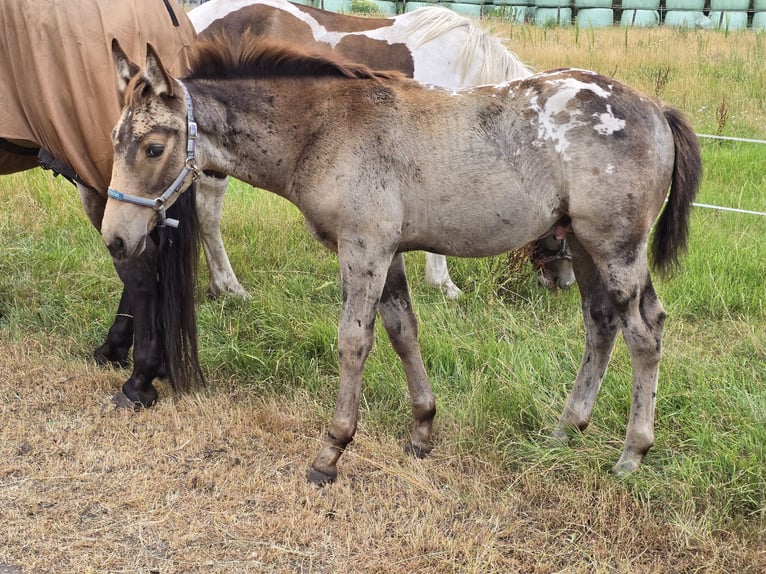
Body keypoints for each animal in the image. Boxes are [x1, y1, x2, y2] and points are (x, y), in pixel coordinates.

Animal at [103, 36, 701, 483]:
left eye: (153, 148)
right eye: (113, 139)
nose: (115, 239)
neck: (325, 128)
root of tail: (656, 109)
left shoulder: (363, 250)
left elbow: (354, 341)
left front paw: (331, 452)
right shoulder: (386, 255)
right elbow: (402, 331)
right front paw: (422, 432)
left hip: (616, 249)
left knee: (644, 333)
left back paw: (631, 455)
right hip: (583, 245)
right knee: (601, 323)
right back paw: (564, 431)